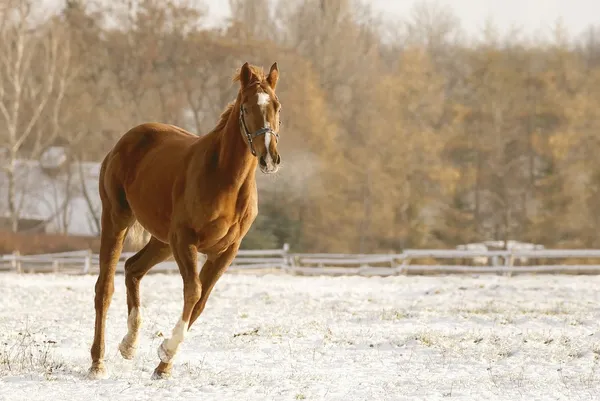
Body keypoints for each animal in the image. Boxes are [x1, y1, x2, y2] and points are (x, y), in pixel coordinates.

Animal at [88, 60, 284, 378]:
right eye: (246, 106)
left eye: (277, 106)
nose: (269, 158)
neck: (225, 180)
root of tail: (126, 140)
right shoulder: (185, 241)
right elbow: (193, 292)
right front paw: (166, 351)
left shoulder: (225, 251)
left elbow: (201, 303)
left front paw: (163, 366)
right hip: (117, 220)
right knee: (104, 288)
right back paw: (97, 362)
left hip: (162, 241)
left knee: (133, 269)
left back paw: (129, 344)